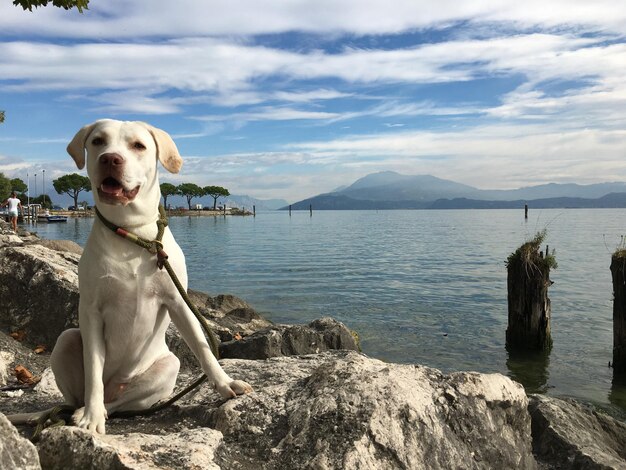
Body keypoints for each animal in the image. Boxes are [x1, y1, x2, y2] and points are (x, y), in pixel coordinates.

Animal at [50, 120, 251, 434]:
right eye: (97, 141)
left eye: (138, 145)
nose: (110, 159)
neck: (132, 232)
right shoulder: (91, 311)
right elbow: (93, 369)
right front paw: (90, 418)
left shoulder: (178, 301)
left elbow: (204, 349)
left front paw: (225, 383)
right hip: (66, 340)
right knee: (84, 394)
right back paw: (84, 410)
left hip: (169, 366)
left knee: (119, 405)